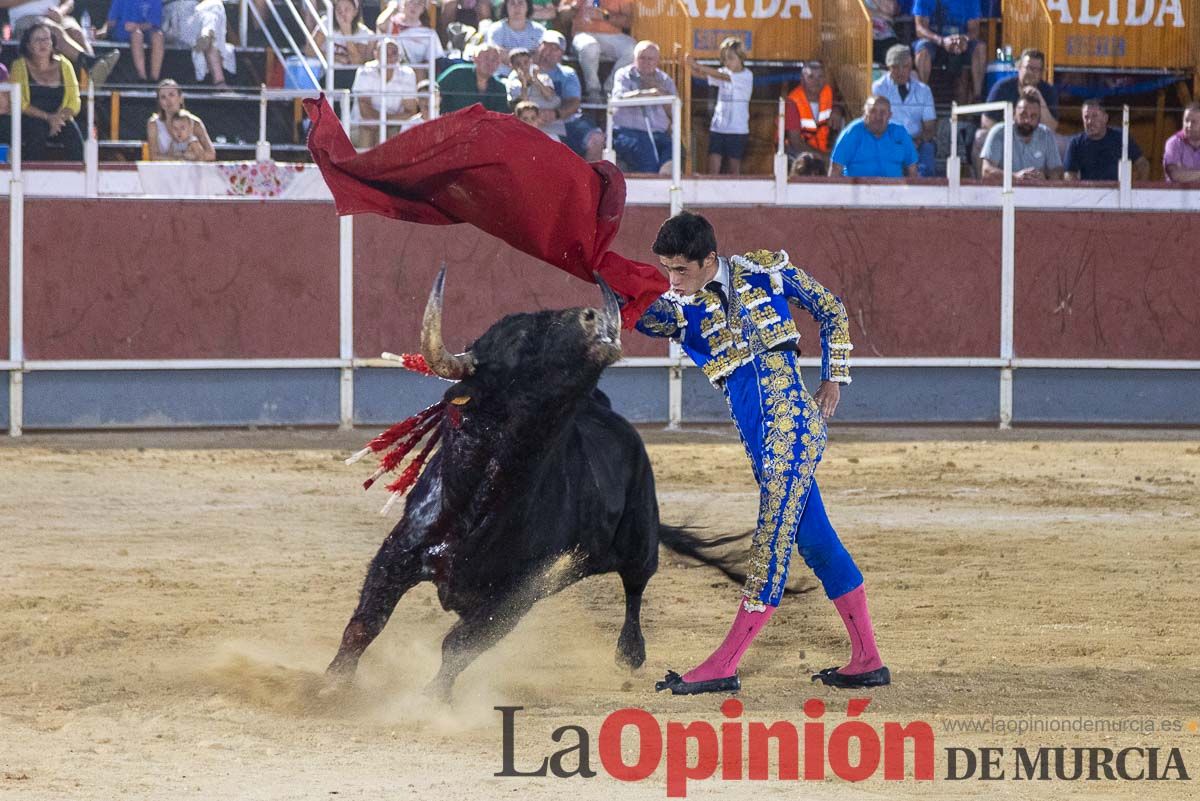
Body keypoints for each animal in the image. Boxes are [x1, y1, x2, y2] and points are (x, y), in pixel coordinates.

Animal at [328, 272, 739, 695]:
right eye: (521, 342)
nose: (594, 317)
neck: (482, 502)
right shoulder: (398, 553)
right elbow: (365, 623)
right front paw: (331, 685)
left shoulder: (512, 598)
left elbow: (458, 646)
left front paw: (430, 698)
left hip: (641, 533)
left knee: (636, 584)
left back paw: (630, 653)